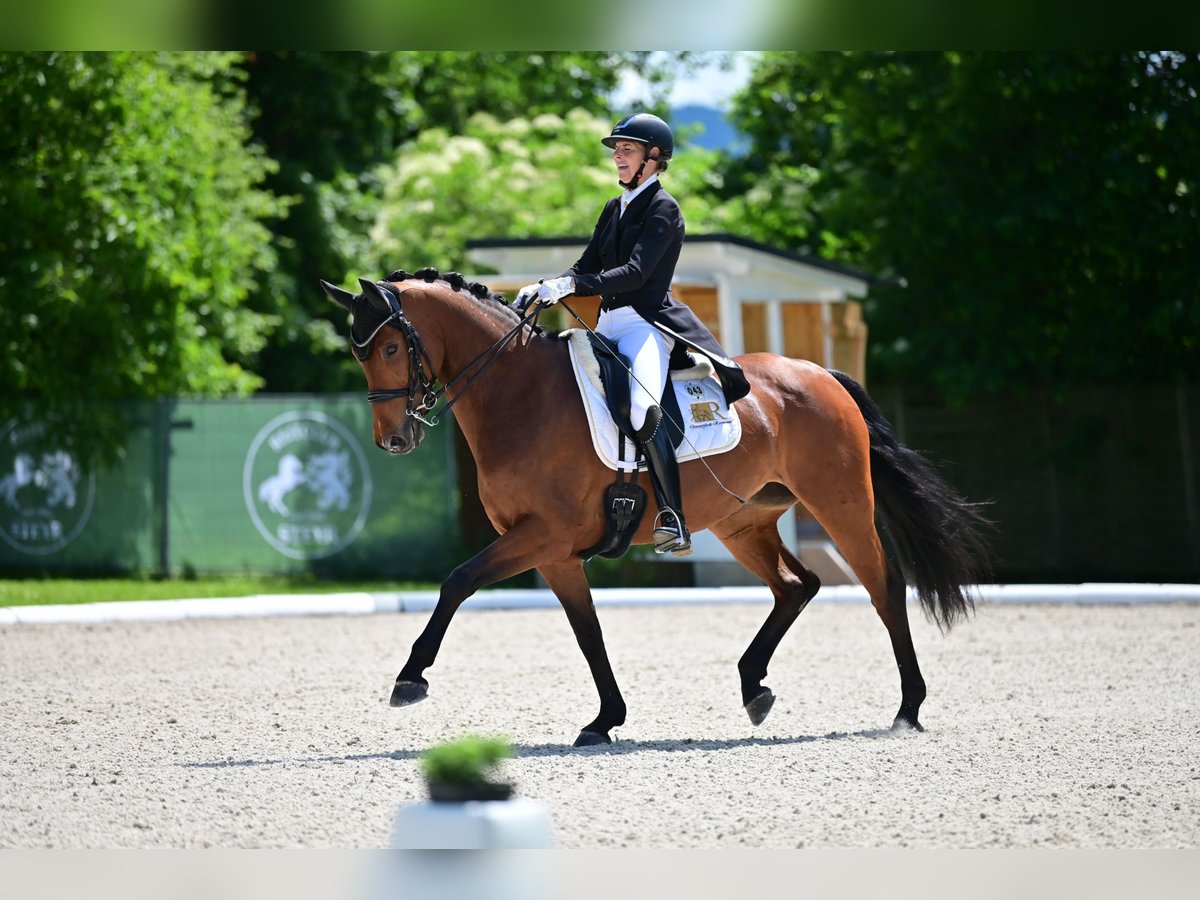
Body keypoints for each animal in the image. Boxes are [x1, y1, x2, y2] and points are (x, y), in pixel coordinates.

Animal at [321, 266, 993, 748]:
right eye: (358, 353)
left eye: (388, 349)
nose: (394, 440)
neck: (518, 392)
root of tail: (822, 374)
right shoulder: (554, 552)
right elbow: (587, 631)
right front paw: (604, 720)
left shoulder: (542, 535)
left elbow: (457, 581)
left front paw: (410, 679)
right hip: (742, 521)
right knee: (796, 585)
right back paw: (754, 687)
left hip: (839, 504)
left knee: (884, 587)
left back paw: (907, 709)